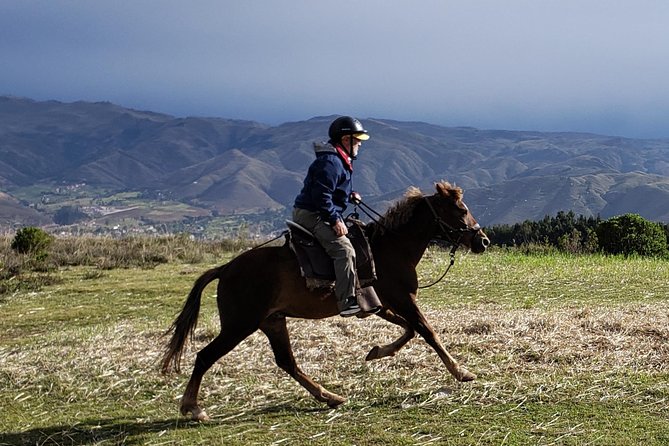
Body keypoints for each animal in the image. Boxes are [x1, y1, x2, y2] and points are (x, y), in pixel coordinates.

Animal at [159, 179, 488, 420]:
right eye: (460, 210)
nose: (482, 241)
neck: (391, 247)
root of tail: (226, 268)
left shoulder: (381, 304)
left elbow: (409, 330)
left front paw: (377, 352)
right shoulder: (401, 298)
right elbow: (426, 330)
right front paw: (461, 372)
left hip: (272, 321)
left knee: (287, 362)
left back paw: (329, 396)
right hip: (240, 324)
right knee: (205, 356)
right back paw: (192, 408)